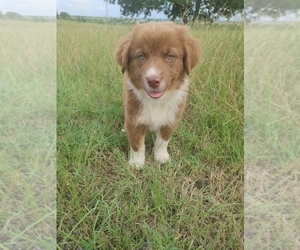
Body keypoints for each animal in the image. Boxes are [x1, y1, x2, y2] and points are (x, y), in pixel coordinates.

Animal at [116, 22, 200, 168]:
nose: (153, 80)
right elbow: (137, 144)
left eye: (170, 56)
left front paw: (161, 157)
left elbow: (163, 141)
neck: (156, 102)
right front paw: (137, 163)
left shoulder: (171, 119)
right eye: (141, 56)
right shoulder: (134, 120)